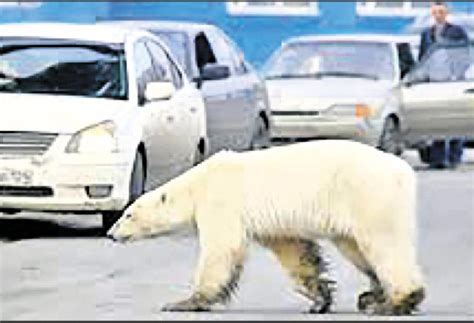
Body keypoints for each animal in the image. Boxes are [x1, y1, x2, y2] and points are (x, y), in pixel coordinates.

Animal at [107, 140, 426, 316]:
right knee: (357, 249)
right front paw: (319, 299)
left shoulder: (221, 202)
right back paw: (372, 296)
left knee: (384, 244)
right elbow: (294, 251)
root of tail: (404, 170)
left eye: (128, 215)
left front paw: (185, 302)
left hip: (368, 194)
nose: (111, 234)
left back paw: (397, 302)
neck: (197, 183)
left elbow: (221, 249)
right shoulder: (273, 224)